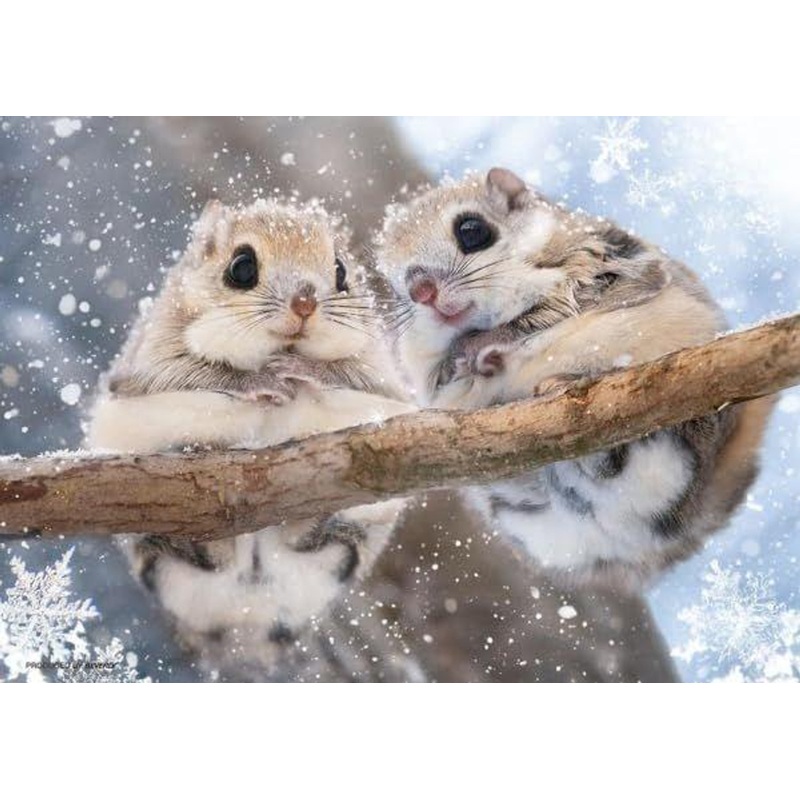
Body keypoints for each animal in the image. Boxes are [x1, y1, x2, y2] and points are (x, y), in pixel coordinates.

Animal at [86, 198, 413, 677]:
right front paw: (260, 380)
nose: (305, 303)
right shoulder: (149, 363)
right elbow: (204, 373)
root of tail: (246, 632)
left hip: (349, 543)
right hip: (156, 553)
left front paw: (304, 372)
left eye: (341, 271)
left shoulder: (386, 385)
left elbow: (349, 378)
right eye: (241, 267)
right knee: (199, 555)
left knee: (319, 541)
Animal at [376, 167, 773, 591]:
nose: (421, 291)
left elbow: (544, 314)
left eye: (471, 230)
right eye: (392, 287)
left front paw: (483, 347)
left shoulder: (604, 267)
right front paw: (459, 364)